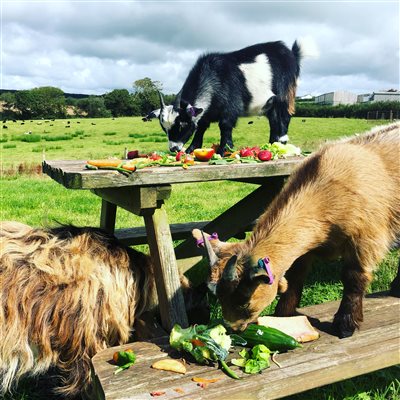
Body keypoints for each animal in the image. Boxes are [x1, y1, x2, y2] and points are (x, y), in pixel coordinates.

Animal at [145, 39, 302, 155]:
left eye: (182, 124)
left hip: (285, 94)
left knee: (284, 116)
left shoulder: (231, 106)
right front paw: (192, 149)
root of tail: (291, 54)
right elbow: (201, 127)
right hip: (270, 104)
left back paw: (281, 142)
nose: (174, 148)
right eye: (164, 128)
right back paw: (271, 144)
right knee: (273, 119)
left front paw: (224, 150)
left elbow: (225, 125)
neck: (215, 76)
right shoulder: (206, 112)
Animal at [192, 122, 398, 338]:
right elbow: (295, 275)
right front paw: (284, 314)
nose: (233, 328)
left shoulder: (366, 238)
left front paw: (345, 325)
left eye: (244, 302)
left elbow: (354, 278)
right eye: (219, 298)